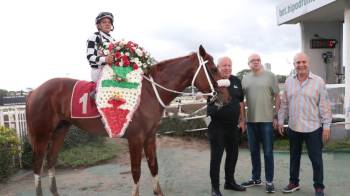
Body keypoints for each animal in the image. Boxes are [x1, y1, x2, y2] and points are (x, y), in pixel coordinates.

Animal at [26, 44, 231, 196]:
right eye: (213, 69)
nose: (227, 97)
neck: (149, 92)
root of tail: (34, 91)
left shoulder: (150, 137)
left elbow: (154, 166)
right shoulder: (135, 139)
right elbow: (136, 171)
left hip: (61, 130)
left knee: (51, 160)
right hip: (41, 134)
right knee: (37, 164)